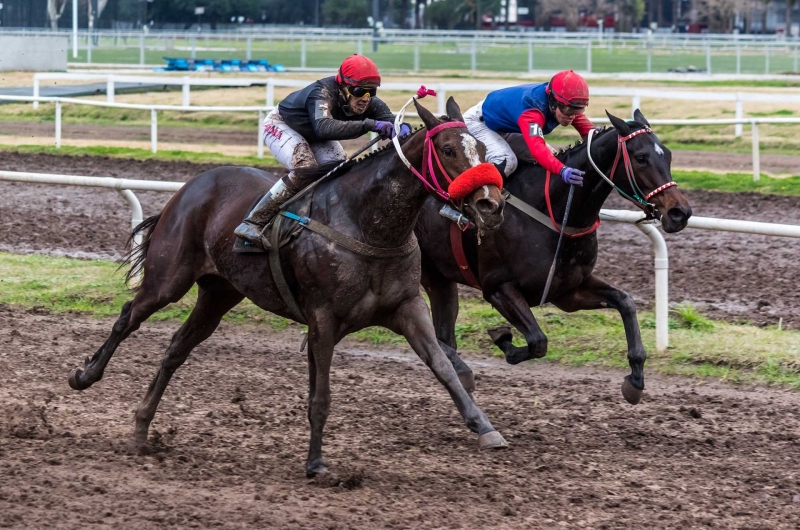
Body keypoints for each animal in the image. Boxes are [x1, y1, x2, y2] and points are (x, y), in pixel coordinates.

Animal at [67, 98, 506, 474]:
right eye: (448, 150)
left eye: (483, 149)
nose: (491, 204)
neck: (367, 223)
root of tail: (191, 186)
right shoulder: (323, 318)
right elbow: (321, 395)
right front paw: (316, 464)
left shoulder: (407, 307)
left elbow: (444, 367)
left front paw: (485, 427)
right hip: (169, 277)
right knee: (128, 317)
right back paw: (85, 376)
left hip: (219, 293)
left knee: (176, 348)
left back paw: (141, 428)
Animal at [416, 109, 692, 402]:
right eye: (641, 158)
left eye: (668, 154)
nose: (680, 213)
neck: (553, 212)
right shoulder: (497, 288)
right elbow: (538, 341)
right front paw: (503, 339)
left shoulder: (568, 290)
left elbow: (625, 302)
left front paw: (636, 378)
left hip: (440, 279)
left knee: (443, 334)